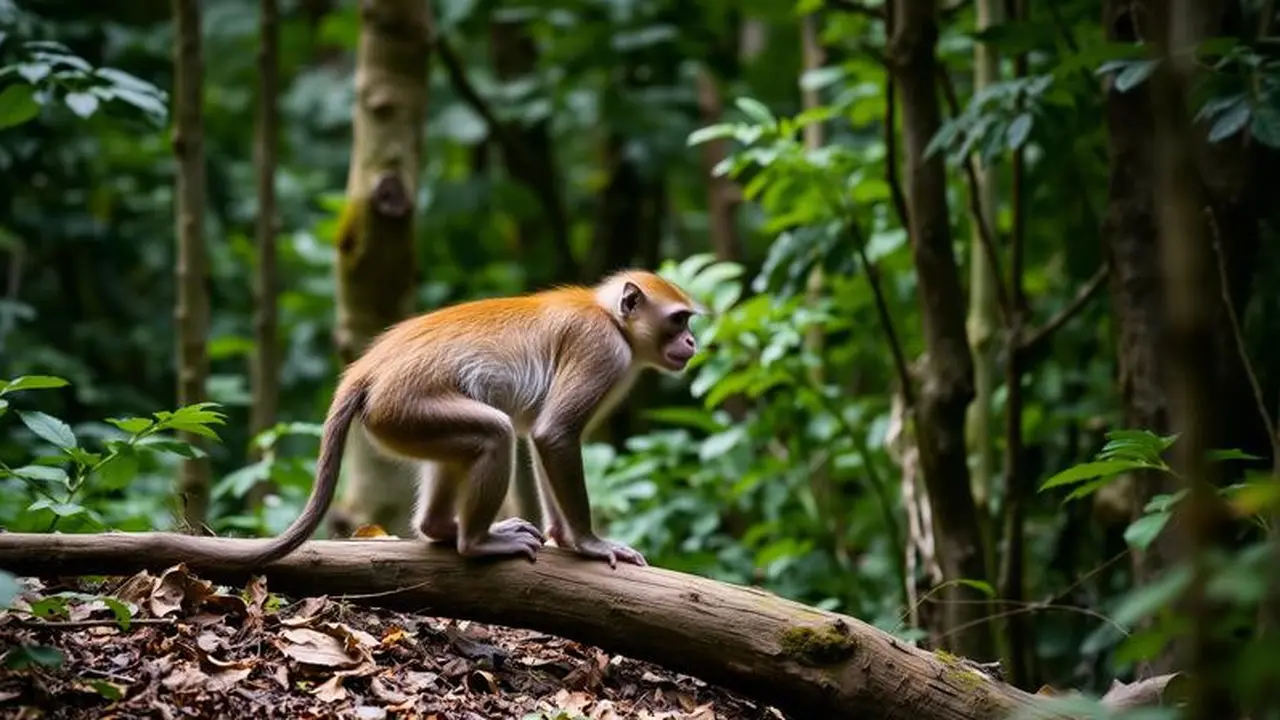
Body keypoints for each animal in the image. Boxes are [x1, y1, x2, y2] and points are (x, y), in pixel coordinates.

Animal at [166, 269, 703, 570]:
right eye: (679, 320)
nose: (693, 342)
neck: (608, 315)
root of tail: (370, 366)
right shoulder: (603, 350)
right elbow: (554, 435)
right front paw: (589, 544)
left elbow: (542, 436)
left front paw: (567, 540)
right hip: (404, 405)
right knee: (495, 432)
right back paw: (474, 543)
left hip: (398, 421)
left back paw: (440, 528)